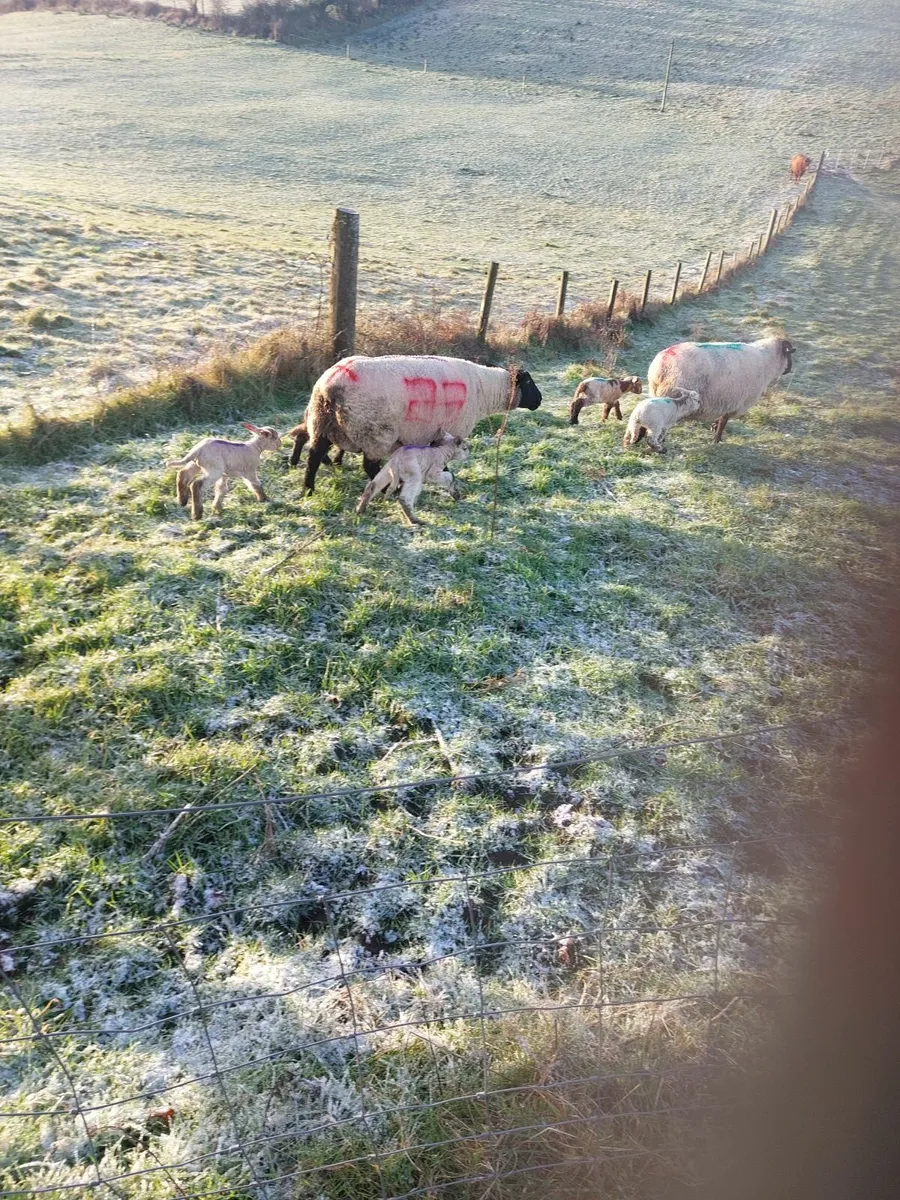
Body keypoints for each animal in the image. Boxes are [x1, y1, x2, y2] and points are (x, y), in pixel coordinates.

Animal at [295, 355, 542, 494]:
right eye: (529, 382)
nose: (540, 400)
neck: (486, 390)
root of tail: (329, 388)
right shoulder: (453, 430)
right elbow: (444, 458)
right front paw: (445, 476)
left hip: (323, 424)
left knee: (314, 456)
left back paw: (308, 489)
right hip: (375, 432)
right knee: (369, 466)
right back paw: (390, 490)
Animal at [647, 337, 794, 443]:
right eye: (789, 354)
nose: (789, 370)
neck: (766, 360)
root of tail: (661, 365)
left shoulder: (726, 401)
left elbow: (722, 419)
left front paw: (714, 428)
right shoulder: (734, 400)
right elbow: (724, 421)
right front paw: (717, 439)